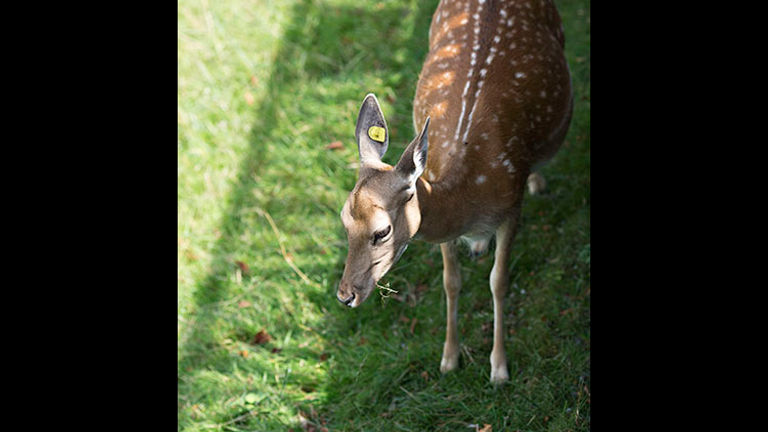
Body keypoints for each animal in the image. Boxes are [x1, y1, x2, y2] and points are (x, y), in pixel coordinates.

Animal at [336, 0, 568, 384]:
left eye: (382, 231)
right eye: (343, 221)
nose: (344, 296)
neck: (470, 193)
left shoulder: (512, 206)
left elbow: (498, 281)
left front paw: (499, 368)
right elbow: (450, 281)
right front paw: (449, 358)